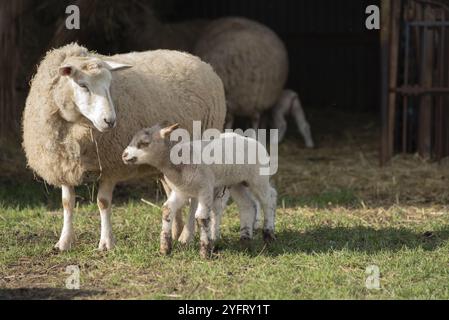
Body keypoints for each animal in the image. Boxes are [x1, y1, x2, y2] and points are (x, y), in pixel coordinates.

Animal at [22, 42, 226, 251]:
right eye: (82, 85)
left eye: (109, 85)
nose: (110, 121)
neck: (76, 125)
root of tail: (199, 61)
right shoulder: (62, 165)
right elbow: (66, 203)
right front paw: (63, 242)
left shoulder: (111, 166)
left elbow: (103, 203)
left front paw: (106, 243)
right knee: (174, 191)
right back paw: (177, 232)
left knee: (194, 198)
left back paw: (187, 235)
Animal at [122, 124, 276, 258]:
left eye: (144, 143)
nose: (124, 155)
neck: (181, 162)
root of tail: (254, 141)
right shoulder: (181, 192)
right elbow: (167, 209)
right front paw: (165, 249)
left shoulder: (205, 189)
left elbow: (201, 218)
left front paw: (204, 252)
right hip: (237, 183)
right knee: (247, 206)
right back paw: (245, 240)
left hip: (258, 178)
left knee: (268, 199)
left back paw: (268, 235)